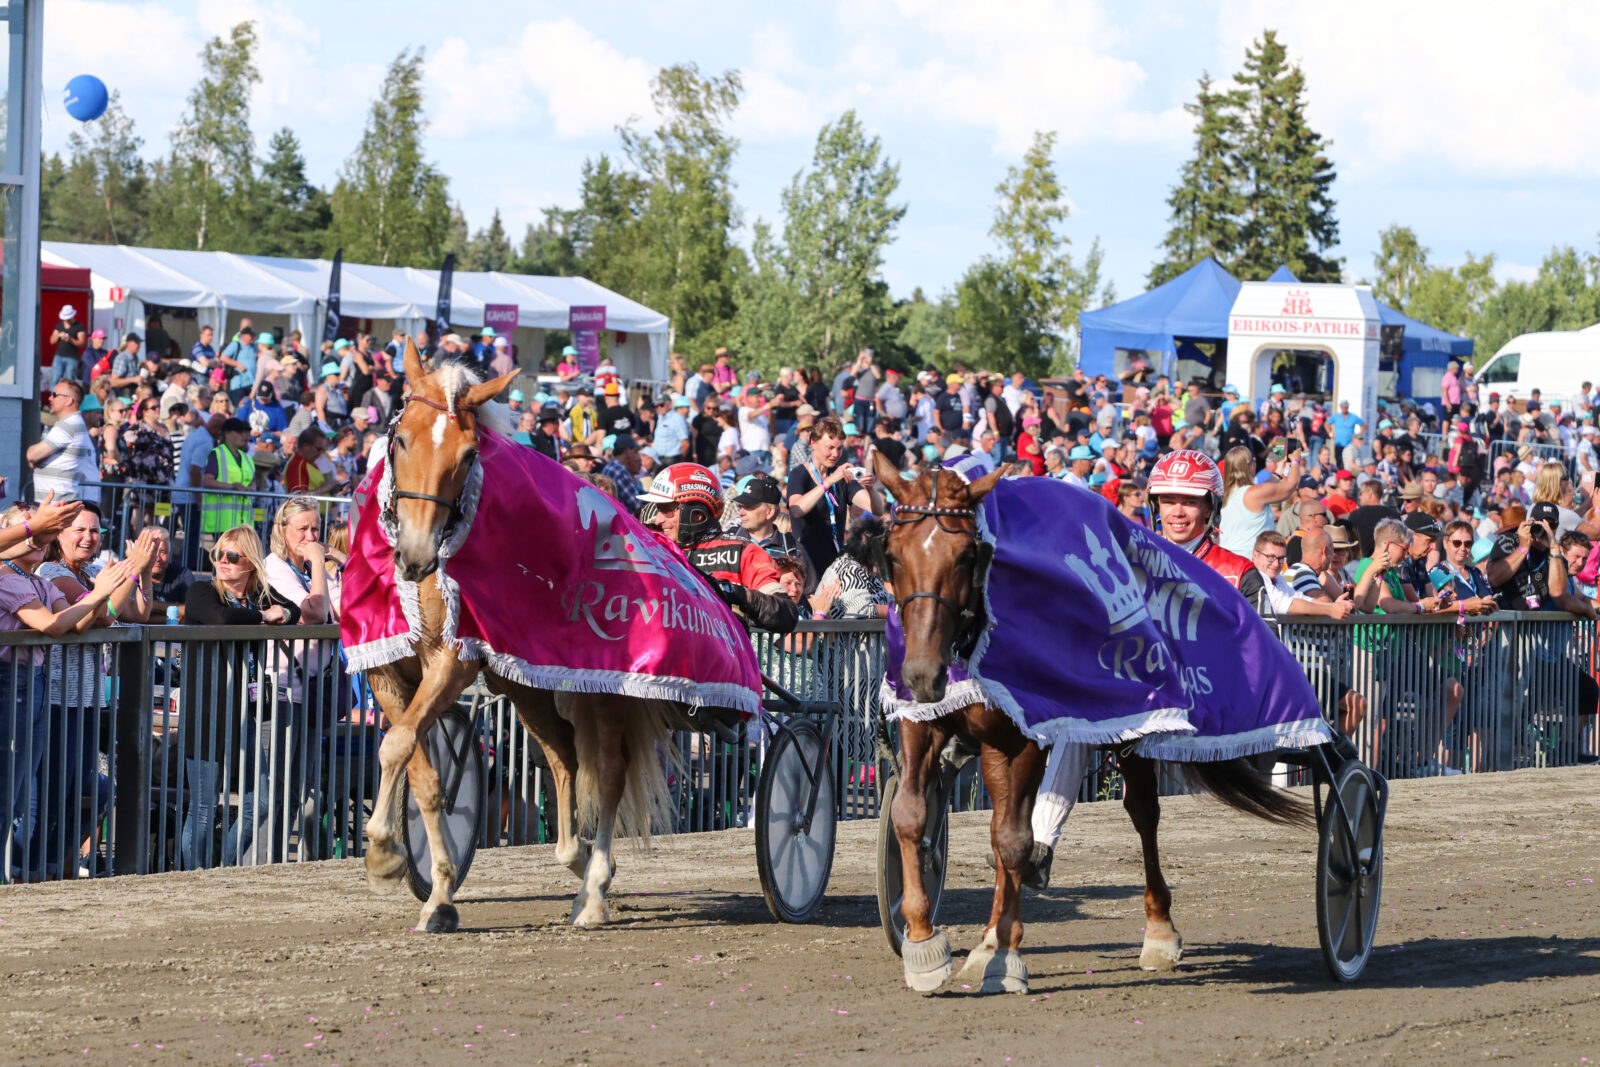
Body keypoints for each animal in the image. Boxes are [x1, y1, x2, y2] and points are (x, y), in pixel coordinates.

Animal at [363, 343, 675, 934]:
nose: (416, 554)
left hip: (604, 688)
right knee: (565, 758)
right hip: (525, 686)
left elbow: (397, 744)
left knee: (609, 768)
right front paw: (434, 890)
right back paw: (577, 858)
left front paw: (381, 850)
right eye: (401, 438)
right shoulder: (385, 671)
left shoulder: (453, 661)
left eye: (468, 455)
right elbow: (416, 764)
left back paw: (594, 889)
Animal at [876, 447, 1312, 991]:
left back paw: (1158, 931)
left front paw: (1005, 957)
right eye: (893, 555)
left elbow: (1014, 839)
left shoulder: (1030, 730)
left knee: (1140, 813)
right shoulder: (925, 718)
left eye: (965, 557)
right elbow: (912, 816)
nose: (921, 673)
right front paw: (923, 944)